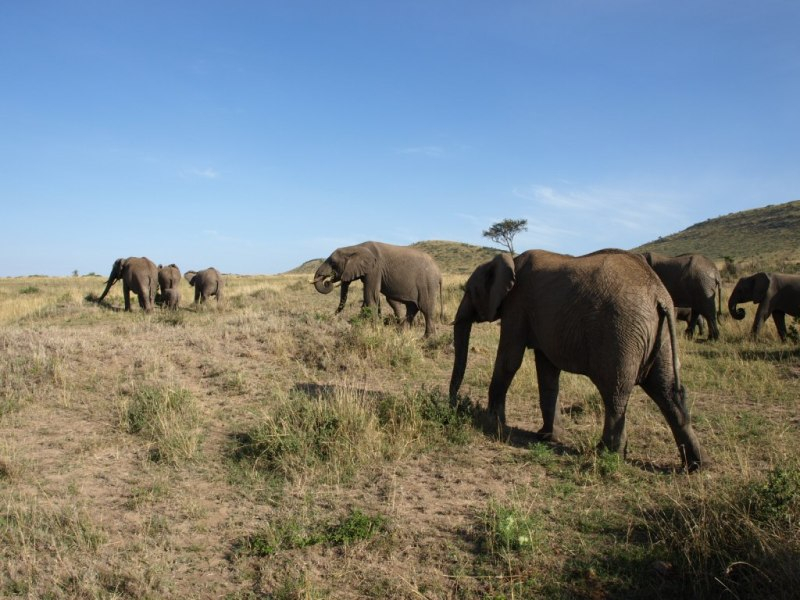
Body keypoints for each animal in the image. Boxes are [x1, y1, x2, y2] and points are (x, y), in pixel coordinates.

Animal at [310, 241, 444, 340]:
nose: (333, 316)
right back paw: (400, 332)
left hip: (427, 283)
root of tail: (439, 272)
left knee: (425, 308)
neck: (355, 247)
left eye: (333, 262)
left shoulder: (375, 269)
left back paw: (426, 338)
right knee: (412, 307)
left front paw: (373, 329)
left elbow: (370, 296)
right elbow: (369, 298)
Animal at [450, 250, 708, 474]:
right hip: (660, 337)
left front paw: (492, 424)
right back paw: (695, 466)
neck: (510, 260)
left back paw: (607, 454)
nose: (454, 406)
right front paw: (547, 436)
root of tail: (659, 295)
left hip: (620, 332)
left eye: (470, 290)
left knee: (615, 393)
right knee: (667, 391)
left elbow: (510, 360)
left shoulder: (517, 305)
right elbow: (547, 372)